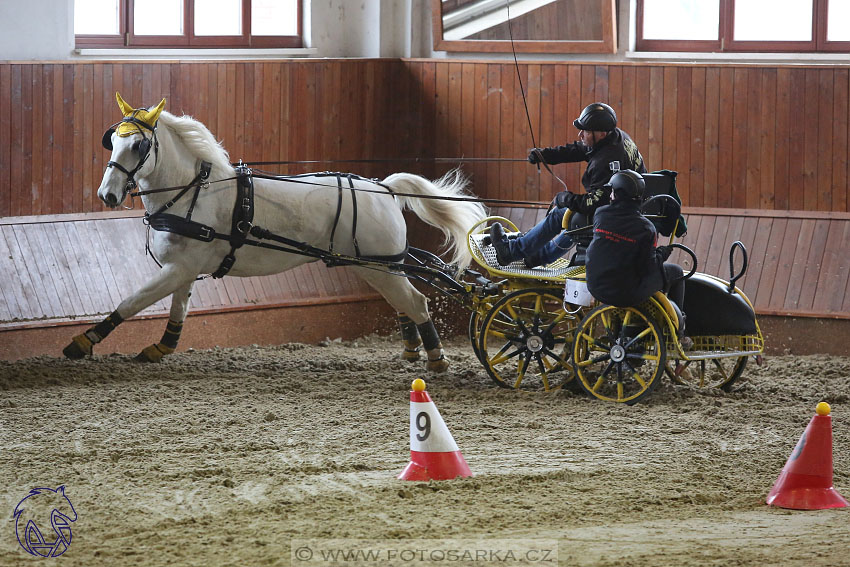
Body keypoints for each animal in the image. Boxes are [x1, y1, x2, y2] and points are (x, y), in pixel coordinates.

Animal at [65, 95, 484, 370]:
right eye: (112, 140)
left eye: (139, 145)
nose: (107, 195)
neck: (193, 193)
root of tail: (383, 187)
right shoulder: (184, 268)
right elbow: (177, 311)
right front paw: (161, 347)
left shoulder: (178, 268)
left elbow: (132, 301)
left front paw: (82, 342)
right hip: (377, 266)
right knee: (403, 302)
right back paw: (412, 350)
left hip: (379, 266)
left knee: (416, 302)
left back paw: (436, 359)